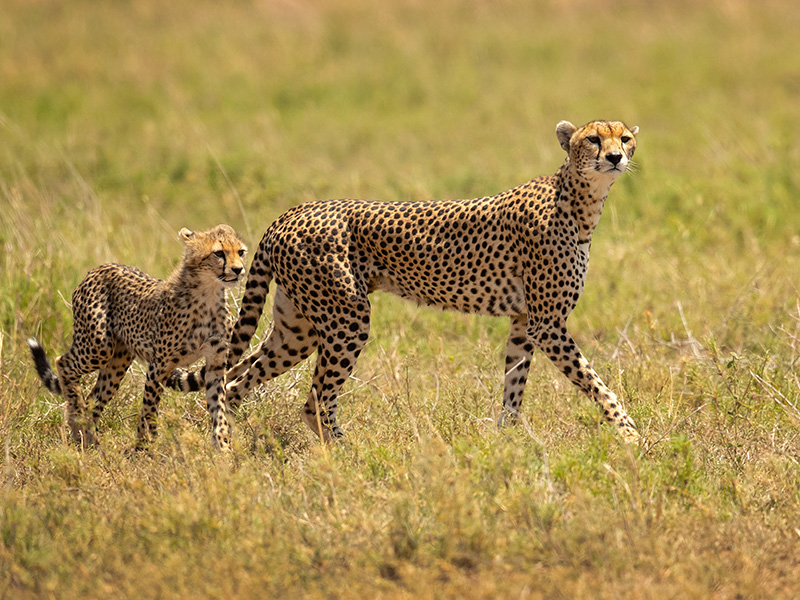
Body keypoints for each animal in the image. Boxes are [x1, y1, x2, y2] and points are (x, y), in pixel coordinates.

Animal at [28, 223, 245, 448]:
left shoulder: (215, 365)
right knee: (64, 363)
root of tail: (99, 268)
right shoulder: (159, 365)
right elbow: (149, 411)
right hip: (99, 347)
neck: (208, 294)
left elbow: (218, 411)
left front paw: (223, 448)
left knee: (94, 398)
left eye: (240, 252)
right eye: (219, 253)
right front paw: (147, 448)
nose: (238, 269)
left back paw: (88, 438)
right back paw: (75, 418)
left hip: (118, 360)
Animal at [172, 119, 640, 442]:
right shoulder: (547, 324)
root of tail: (292, 211)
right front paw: (631, 435)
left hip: (297, 329)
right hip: (347, 317)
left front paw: (506, 441)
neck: (581, 199)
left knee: (235, 383)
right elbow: (595, 382)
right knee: (315, 399)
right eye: (593, 139)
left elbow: (514, 385)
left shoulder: (525, 322)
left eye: (624, 138)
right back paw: (348, 454)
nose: (616, 157)